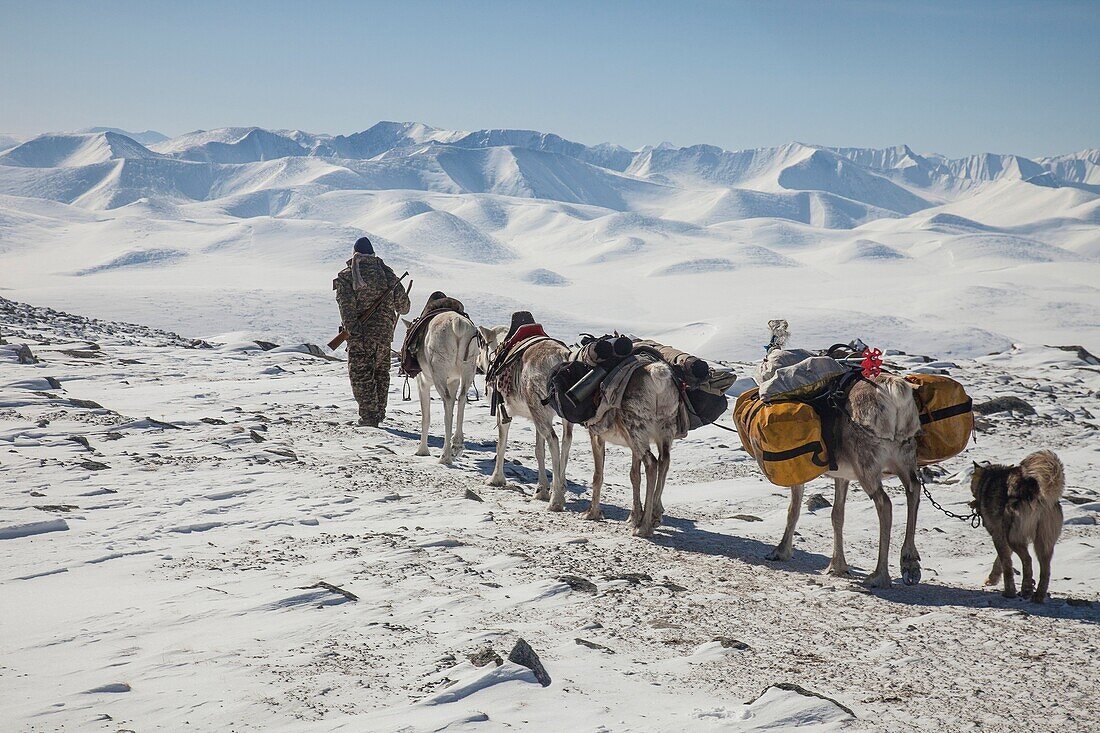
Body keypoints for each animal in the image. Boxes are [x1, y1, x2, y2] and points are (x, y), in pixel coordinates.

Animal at [972, 451, 1064, 598]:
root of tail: (1037, 493)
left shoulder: (998, 535)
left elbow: (1006, 564)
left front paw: (1008, 589)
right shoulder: (1003, 537)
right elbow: (1000, 561)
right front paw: (992, 579)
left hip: (1014, 537)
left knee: (1028, 560)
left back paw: (1024, 588)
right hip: (1043, 541)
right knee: (1046, 569)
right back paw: (1038, 596)